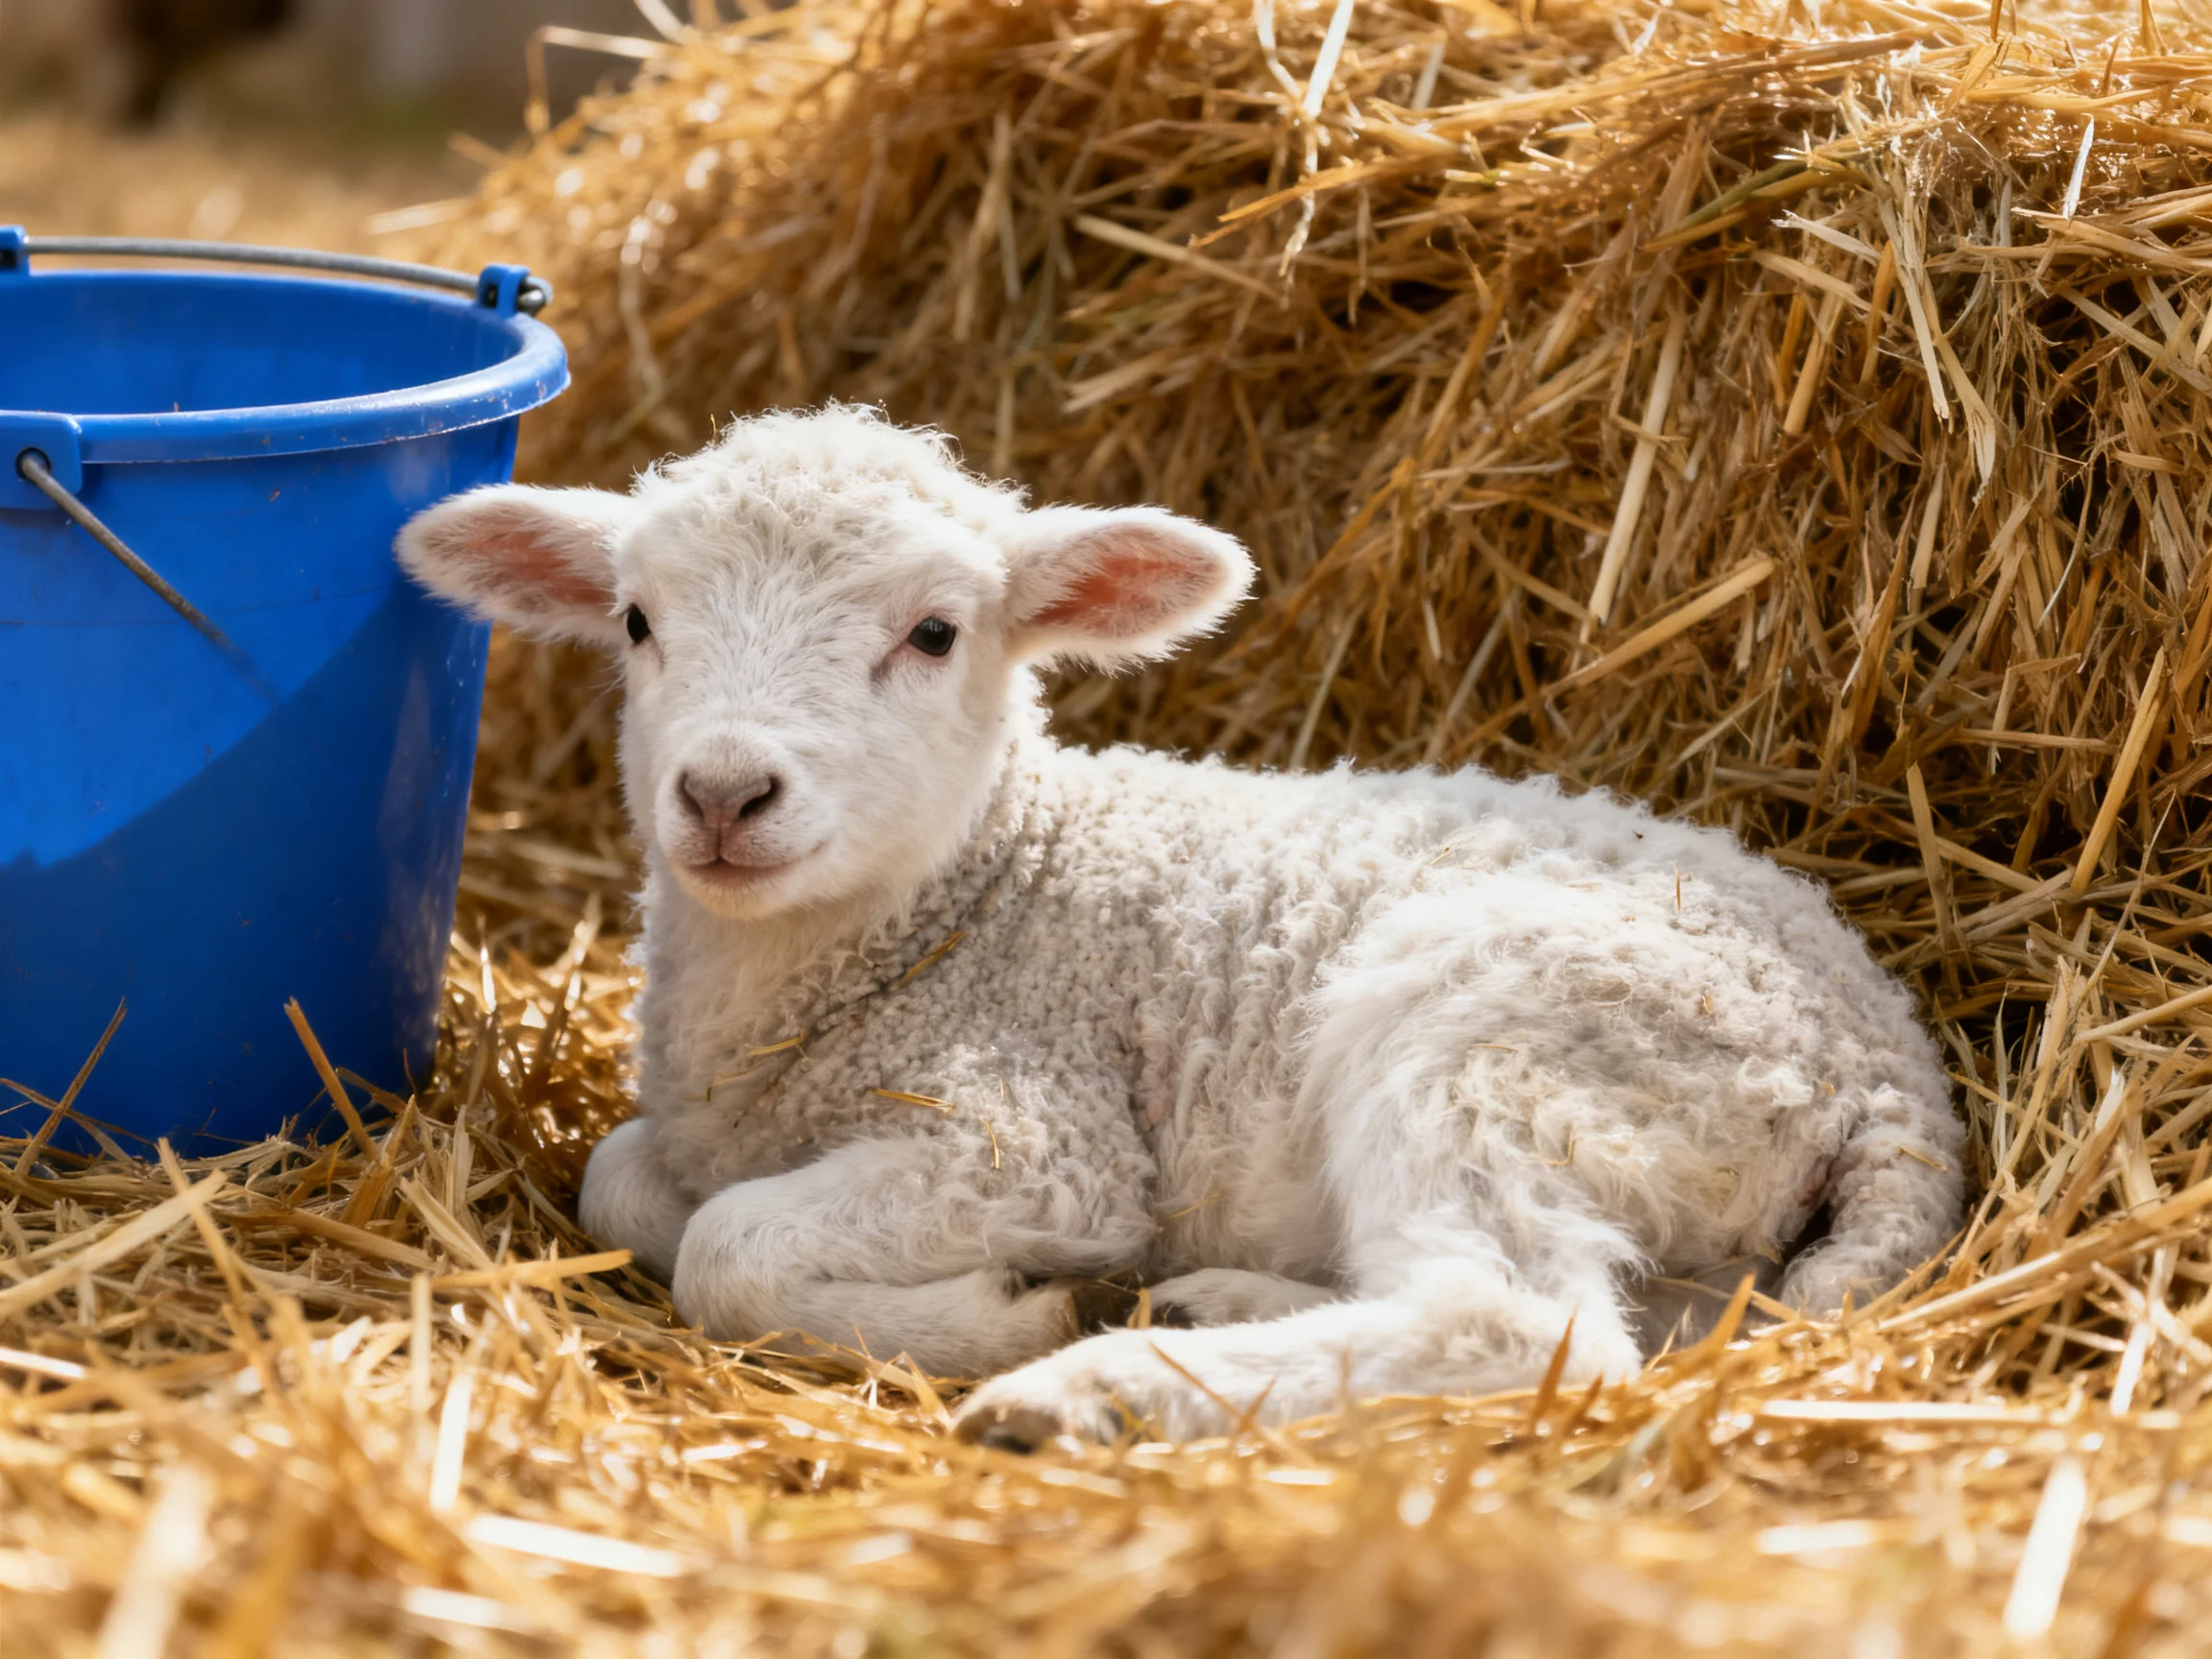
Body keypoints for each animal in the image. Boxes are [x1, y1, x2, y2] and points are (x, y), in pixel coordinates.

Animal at [396, 406, 1964, 1448]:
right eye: (638, 620)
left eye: (934, 634)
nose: (723, 793)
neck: (986, 891)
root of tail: (1894, 1073)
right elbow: (623, 1181)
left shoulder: (1038, 1139)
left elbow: (726, 1246)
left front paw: (1013, 1311)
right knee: (1637, 1312)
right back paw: (1207, 1307)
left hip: (1500, 1026)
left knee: (1523, 1322)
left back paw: (1092, 1385)